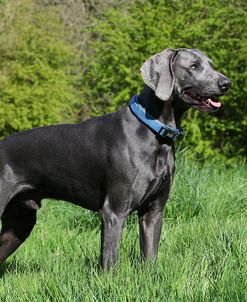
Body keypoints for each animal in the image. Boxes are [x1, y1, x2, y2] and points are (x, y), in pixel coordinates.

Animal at [0, 48, 230, 270]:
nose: (226, 83)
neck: (153, 131)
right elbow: (110, 262)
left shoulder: (154, 211)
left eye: (211, 65)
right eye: (194, 66)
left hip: (20, 223)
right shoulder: (114, 213)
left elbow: (150, 257)